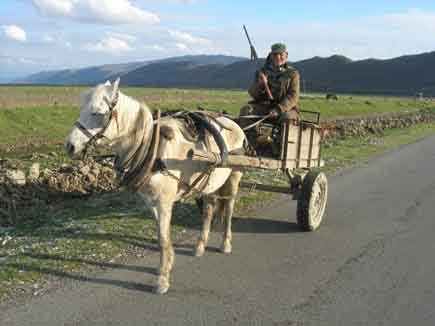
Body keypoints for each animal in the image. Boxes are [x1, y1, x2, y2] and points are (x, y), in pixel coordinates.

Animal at [66, 78, 247, 292]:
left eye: (97, 112)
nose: (69, 146)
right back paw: (200, 245)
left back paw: (225, 243)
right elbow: (162, 235)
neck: (151, 149)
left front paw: (162, 278)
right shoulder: (151, 202)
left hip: (234, 176)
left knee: (228, 208)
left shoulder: (164, 202)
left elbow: (163, 236)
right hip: (209, 183)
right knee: (209, 209)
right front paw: (165, 266)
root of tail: (233, 123)